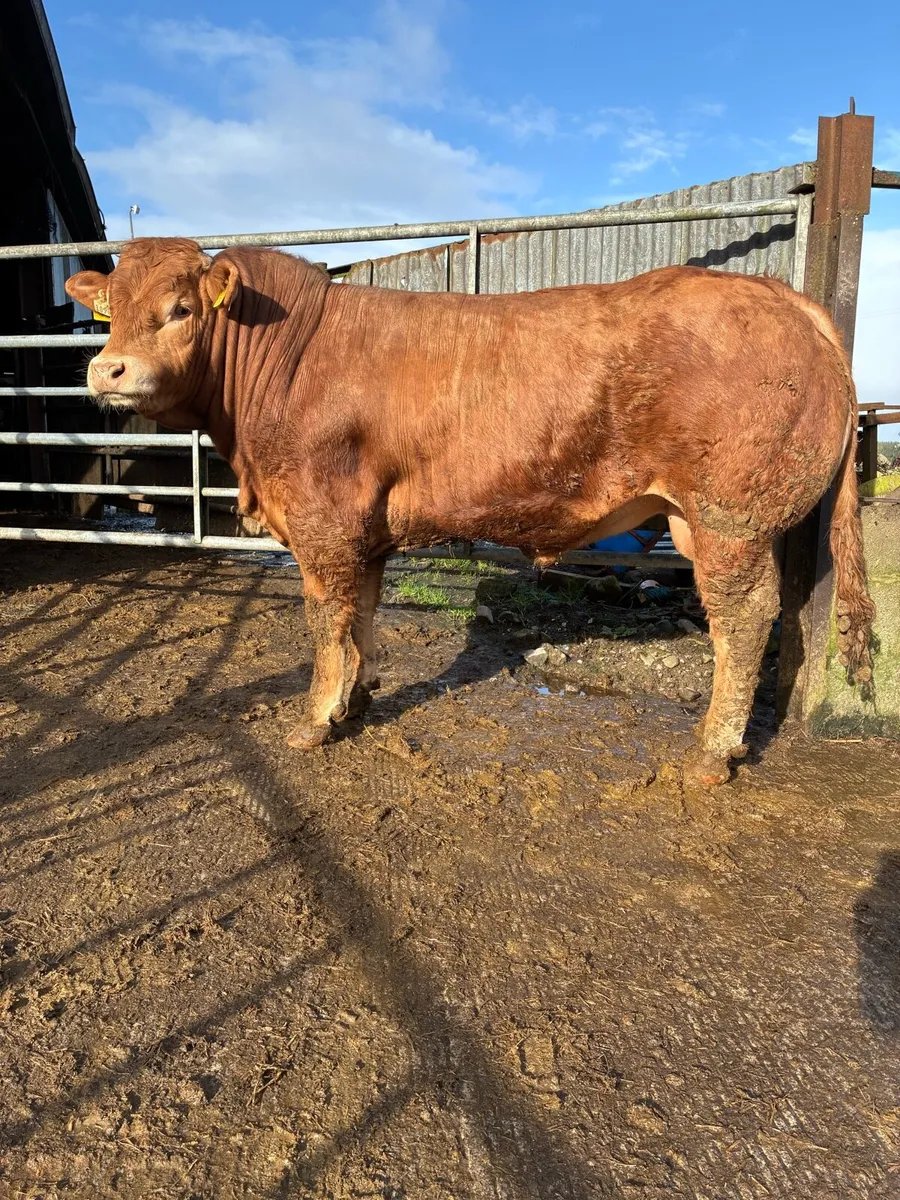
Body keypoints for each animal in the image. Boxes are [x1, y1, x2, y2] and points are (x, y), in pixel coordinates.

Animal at [65, 238, 874, 785]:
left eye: (179, 309)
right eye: (110, 312)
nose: (107, 369)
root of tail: (781, 295)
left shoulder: (323, 522)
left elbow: (325, 620)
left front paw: (315, 718)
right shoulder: (364, 529)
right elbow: (361, 613)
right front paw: (357, 697)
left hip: (728, 518)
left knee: (744, 616)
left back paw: (712, 751)